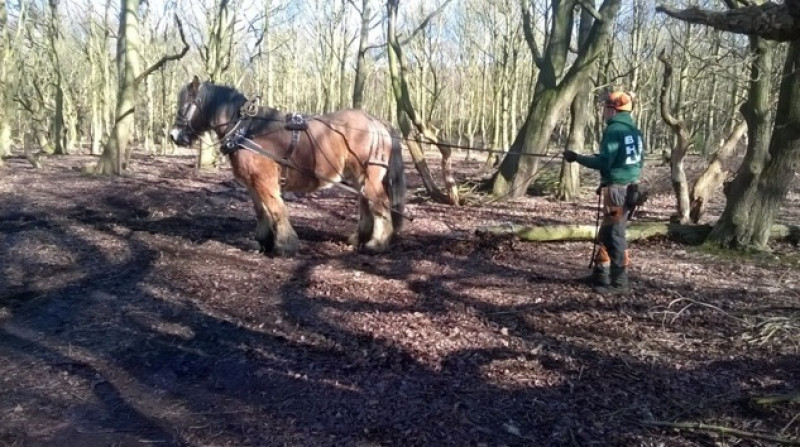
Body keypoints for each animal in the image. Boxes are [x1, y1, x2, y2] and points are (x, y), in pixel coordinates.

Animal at [169, 76, 406, 256]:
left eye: (185, 105)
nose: (173, 135)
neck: (247, 129)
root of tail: (376, 121)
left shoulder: (264, 180)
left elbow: (277, 209)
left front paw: (285, 245)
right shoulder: (252, 183)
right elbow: (262, 211)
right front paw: (262, 241)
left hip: (369, 175)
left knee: (379, 204)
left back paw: (377, 243)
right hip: (358, 176)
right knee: (366, 204)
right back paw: (359, 238)